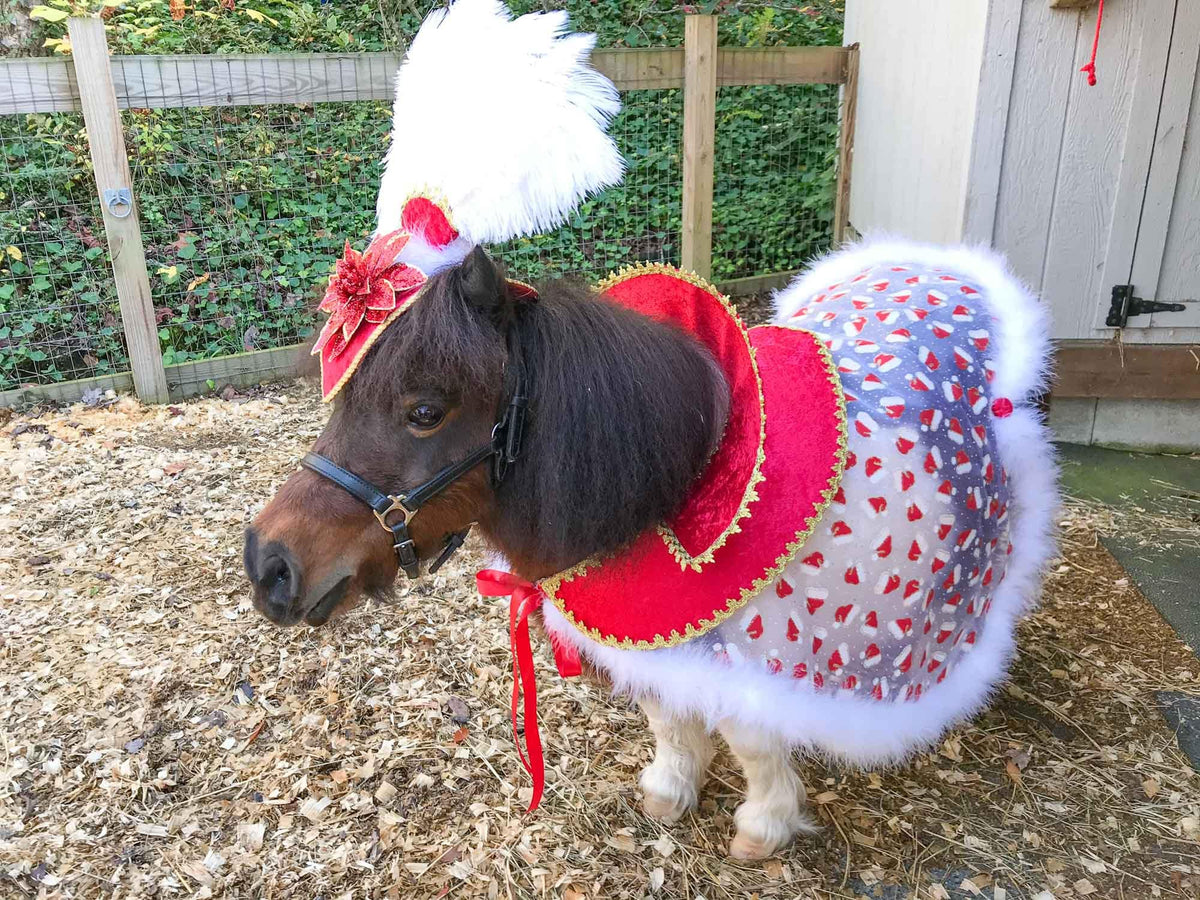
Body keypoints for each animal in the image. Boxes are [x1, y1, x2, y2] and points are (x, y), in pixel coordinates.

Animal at [245, 238, 1057, 859]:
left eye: (423, 411)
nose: (267, 564)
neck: (686, 477)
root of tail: (939, 267)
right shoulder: (663, 640)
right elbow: (668, 714)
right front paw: (670, 789)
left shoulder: (758, 654)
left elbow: (749, 736)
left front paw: (763, 827)